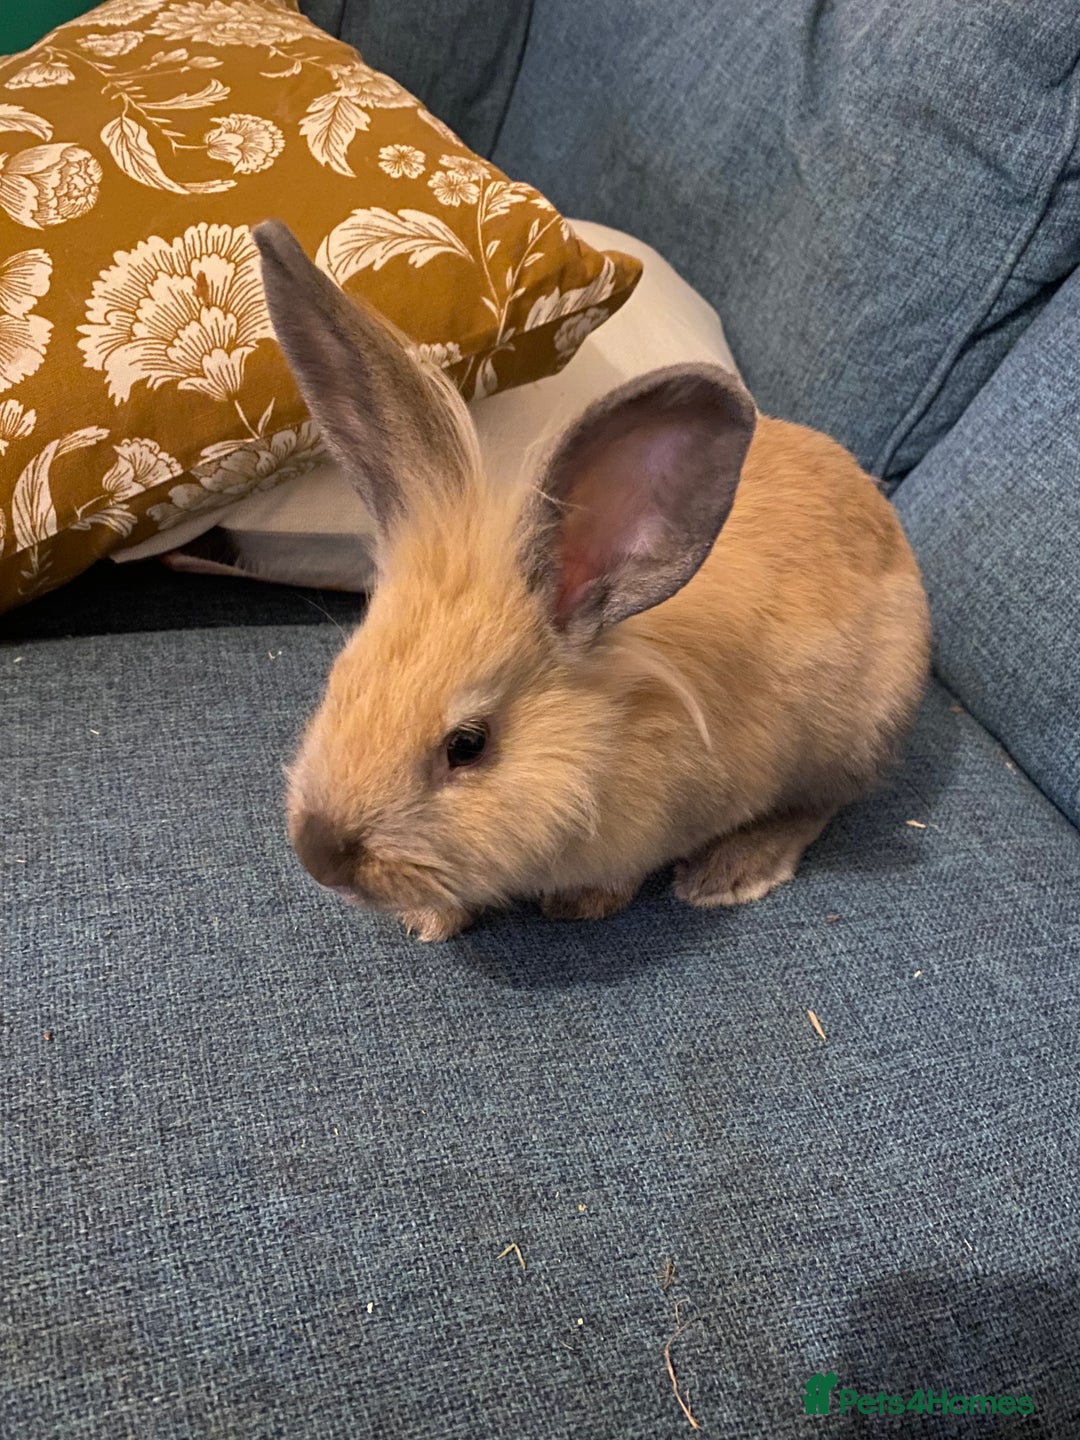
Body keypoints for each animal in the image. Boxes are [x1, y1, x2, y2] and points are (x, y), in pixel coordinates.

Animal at [253, 220, 931, 942]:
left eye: (468, 746)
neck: (603, 737)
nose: (319, 854)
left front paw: (578, 904)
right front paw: (430, 919)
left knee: (822, 806)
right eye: (341, 679)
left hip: (855, 734)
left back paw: (730, 872)